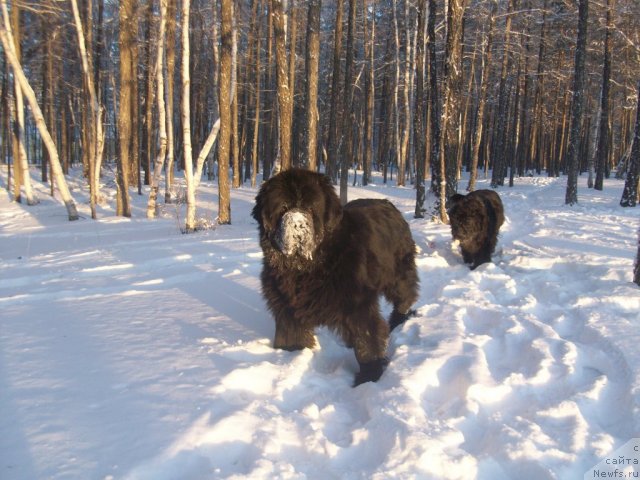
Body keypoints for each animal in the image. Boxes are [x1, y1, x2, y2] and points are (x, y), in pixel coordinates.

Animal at [250, 169, 420, 386]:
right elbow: (292, 337)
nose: (297, 224)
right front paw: (289, 357)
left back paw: (399, 321)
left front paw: (369, 380)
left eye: (310, 207)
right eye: (284, 208)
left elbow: (367, 343)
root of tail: (389, 204)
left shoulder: (359, 307)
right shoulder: (287, 309)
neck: (307, 269)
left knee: (405, 297)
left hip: (398, 275)